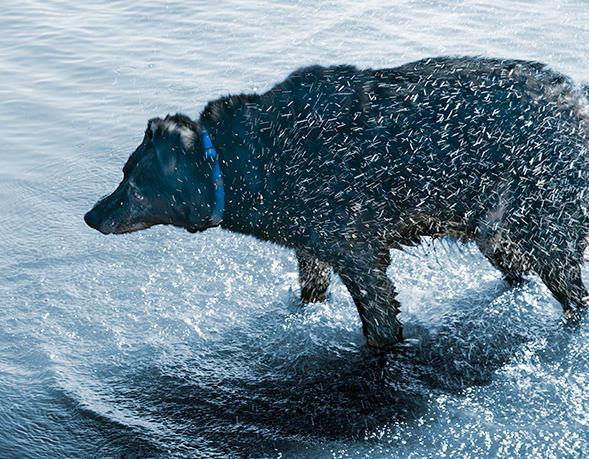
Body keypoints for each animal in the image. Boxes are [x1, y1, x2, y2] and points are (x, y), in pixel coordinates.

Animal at [85, 58, 588, 348]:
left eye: (134, 184)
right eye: (124, 174)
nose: (90, 216)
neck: (237, 159)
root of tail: (577, 102)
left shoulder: (358, 258)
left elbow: (381, 329)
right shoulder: (312, 249)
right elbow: (310, 293)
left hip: (545, 235)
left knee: (575, 299)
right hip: (496, 233)